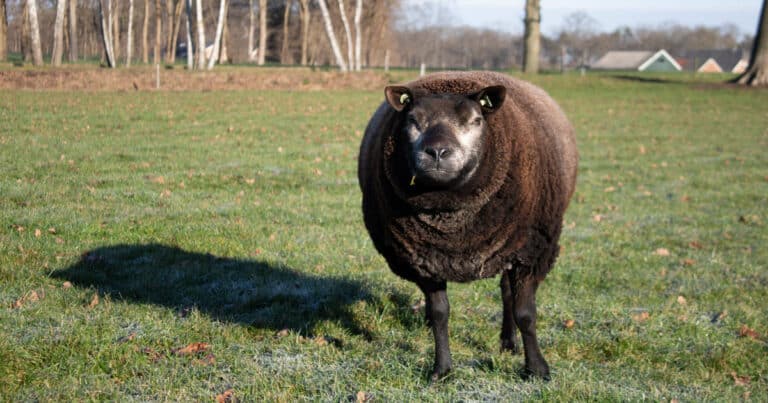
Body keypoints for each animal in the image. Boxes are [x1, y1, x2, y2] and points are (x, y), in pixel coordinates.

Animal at [358, 70, 576, 382]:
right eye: (412, 120)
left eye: (475, 121)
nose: (437, 152)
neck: (455, 231)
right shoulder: (426, 259)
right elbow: (440, 313)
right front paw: (442, 369)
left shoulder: (529, 254)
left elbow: (525, 314)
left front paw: (536, 369)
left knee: (507, 294)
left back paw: (508, 342)